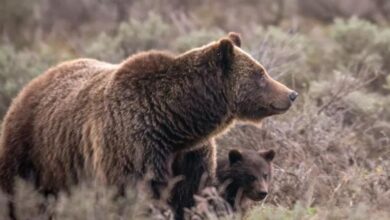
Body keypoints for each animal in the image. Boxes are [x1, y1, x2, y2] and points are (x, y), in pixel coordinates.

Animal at [0, 31, 298, 219]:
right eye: (261, 74)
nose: (291, 94)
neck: (175, 123)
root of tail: (31, 84)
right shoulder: (133, 146)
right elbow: (135, 196)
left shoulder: (191, 156)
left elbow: (189, 197)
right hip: (32, 152)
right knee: (18, 195)